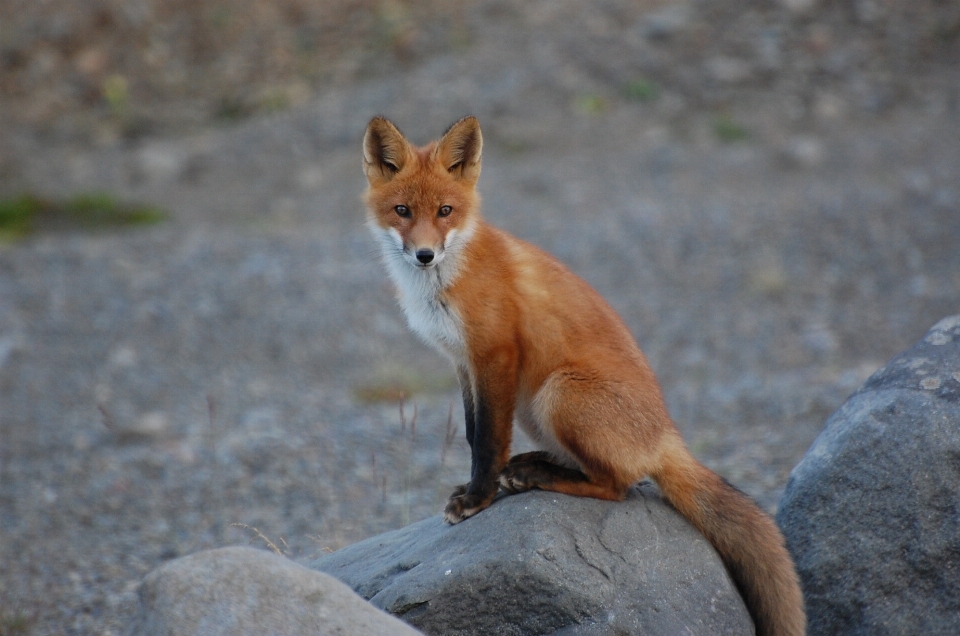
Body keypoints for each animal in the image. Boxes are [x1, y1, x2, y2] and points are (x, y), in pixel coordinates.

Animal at [364, 115, 808, 636]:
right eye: (402, 211)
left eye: (446, 211)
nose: (425, 255)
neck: (444, 282)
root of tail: (667, 435)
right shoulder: (462, 362)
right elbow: (474, 434)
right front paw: (477, 488)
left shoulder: (495, 354)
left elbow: (488, 440)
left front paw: (477, 498)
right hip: (535, 407)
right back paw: (533, 465)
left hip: (557, 394)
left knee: (617, 486)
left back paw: (537, 475)